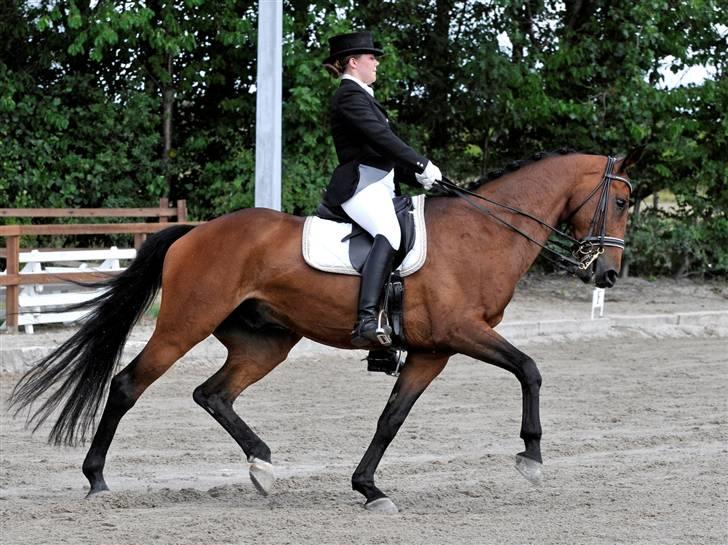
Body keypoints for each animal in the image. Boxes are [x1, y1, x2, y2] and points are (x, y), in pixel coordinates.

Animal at [8, 150, 640, 516]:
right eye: (622, 199)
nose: (608, 273)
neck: (482, 234)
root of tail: (195, 231)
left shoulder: (432, 351)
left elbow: (391, 418)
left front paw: (368, 488)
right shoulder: (462, 332)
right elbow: (530, 368)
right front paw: (531, 456)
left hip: (266, 342)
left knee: (213, 393)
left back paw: (262, 466)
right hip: (185, 325)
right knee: (127, 385)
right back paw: (96, 480)